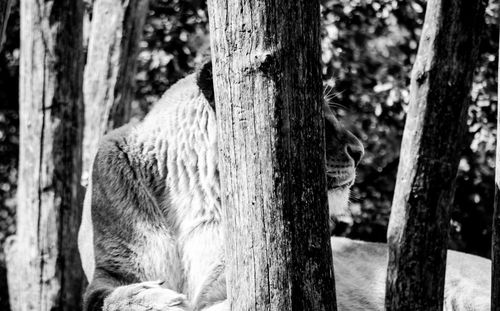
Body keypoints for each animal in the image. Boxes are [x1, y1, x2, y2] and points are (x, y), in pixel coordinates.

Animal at [79, 62, 492, 310]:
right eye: (314, 116)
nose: (359, 151)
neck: (195, 194)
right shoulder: (112, 268)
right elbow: (101, 298)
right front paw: (152, 299)